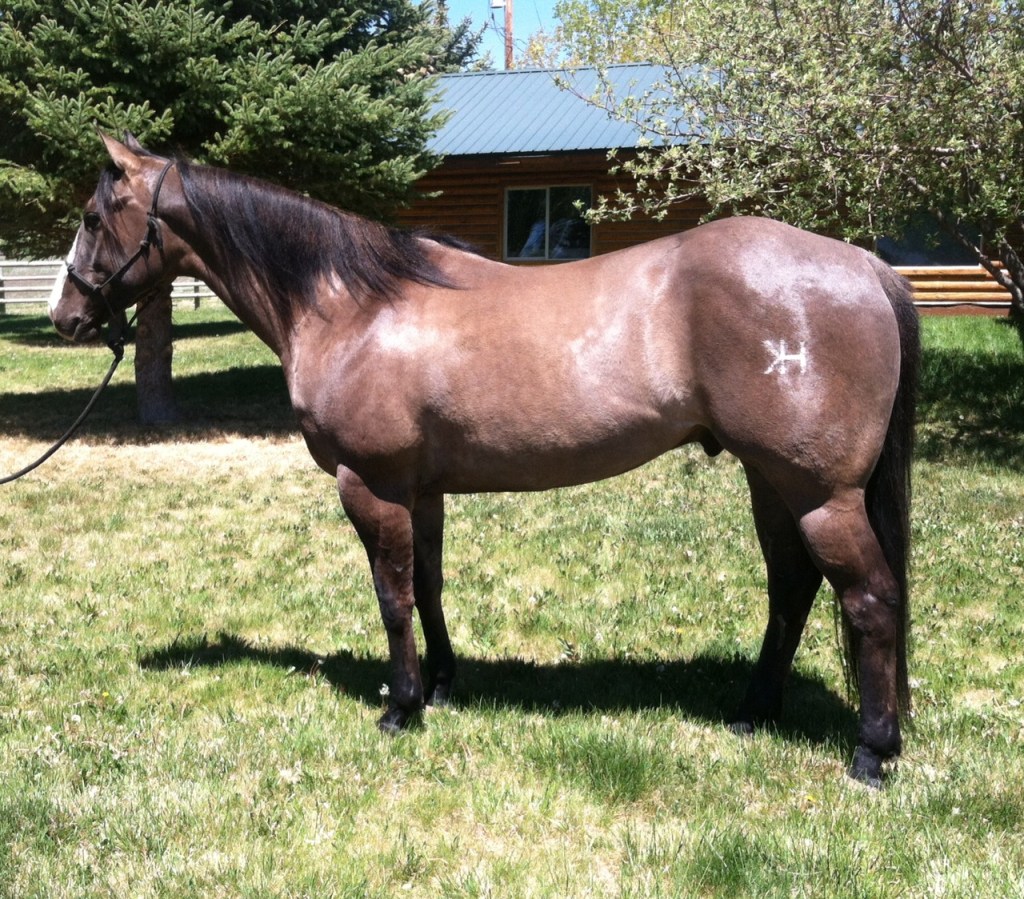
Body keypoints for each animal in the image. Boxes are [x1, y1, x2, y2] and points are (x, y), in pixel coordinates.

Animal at [51, 134, 919, 786]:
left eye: (94, 215)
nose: (66, 316)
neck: (353, 306)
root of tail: (865, 266)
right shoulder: (421, 490)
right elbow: (429, 585)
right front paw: (441, 682)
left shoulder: (370, 486)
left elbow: (392, 595)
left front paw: (401, 705)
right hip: (771, 481)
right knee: (793, 590)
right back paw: (753, 710)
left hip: (820, 494)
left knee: (871, 600)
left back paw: (872, 752)